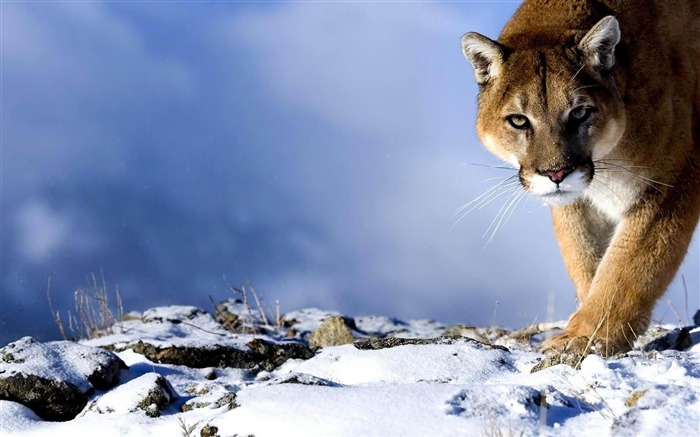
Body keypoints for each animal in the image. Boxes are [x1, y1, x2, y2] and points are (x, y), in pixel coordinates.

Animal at [462, 0, 696, 358]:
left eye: (580, 112)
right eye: (519, 120)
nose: (556, 173)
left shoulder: (671, 181)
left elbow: (629, 266)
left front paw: (586, 337)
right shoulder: (578, 202)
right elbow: (585, 258)